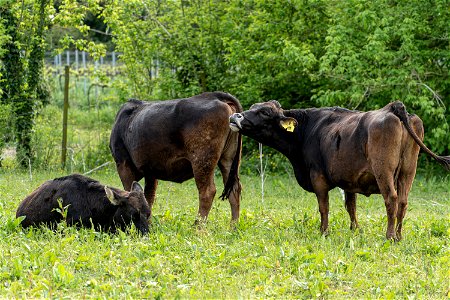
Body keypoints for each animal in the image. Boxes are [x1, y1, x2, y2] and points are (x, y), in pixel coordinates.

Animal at [110, 91, 243, 225]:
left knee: (207, 192)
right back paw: (233, 226)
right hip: (228, 159)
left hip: (202, 160)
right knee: (234, 190)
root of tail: (216, 96)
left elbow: (130, 193)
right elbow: (148, 197)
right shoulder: (151, 170)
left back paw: (197, 226)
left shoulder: (123, 163)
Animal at [230, 99, 448, 240]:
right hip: (408, 171)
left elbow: (324, 207)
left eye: (264, 112)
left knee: (391, 199)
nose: (235, 116)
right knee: (403, 201)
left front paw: (324, 232)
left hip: (383, 170)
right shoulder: (350, 180)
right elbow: (351, 206)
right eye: (253, 108)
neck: (307, 130)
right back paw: (400, 235)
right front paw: (355, 230)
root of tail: (395, 108)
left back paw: (390, 235)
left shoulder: (318, 177)